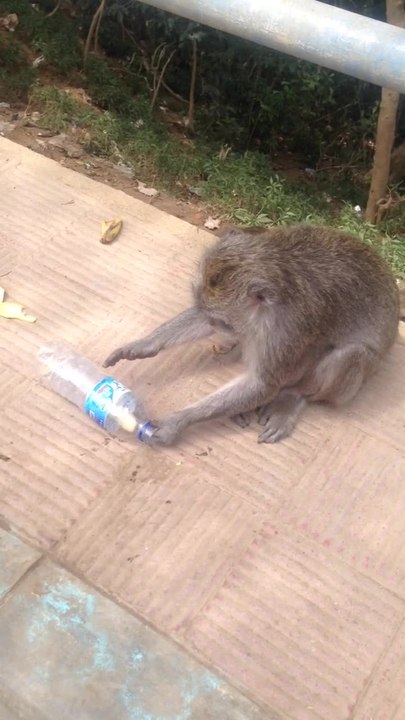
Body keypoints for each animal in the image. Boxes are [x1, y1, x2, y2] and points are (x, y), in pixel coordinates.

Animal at [103, 224, 400, 446]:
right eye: (213, 319)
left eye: (222, 321)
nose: (221, 328)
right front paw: (144, 344)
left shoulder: (286, 330)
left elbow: (263, 385)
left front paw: (178, 421)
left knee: (352, 354)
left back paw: (294, 397)